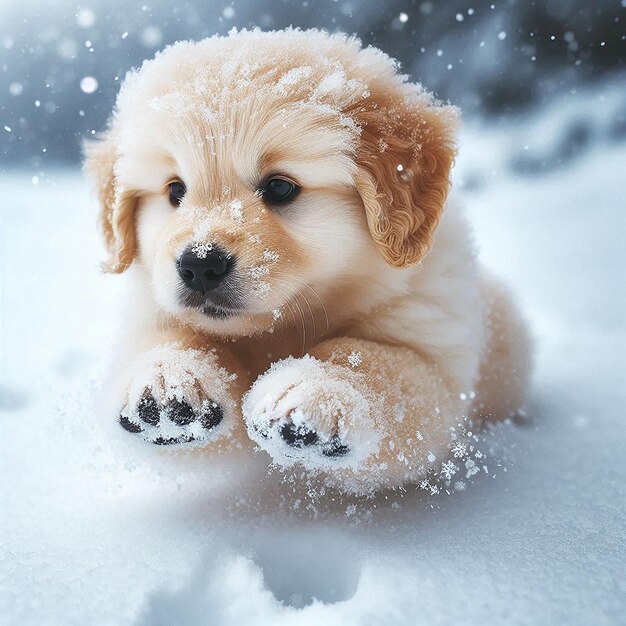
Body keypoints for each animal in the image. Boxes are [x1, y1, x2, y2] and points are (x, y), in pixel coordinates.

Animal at [84, 29, 532, 492]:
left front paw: (313, 390)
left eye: (280, 188)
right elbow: (172, 340)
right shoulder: (152, 312)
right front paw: (166, 380)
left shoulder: (430, 346)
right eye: (175, 191)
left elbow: (369, 358)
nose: (200, 265)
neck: (278, 328)